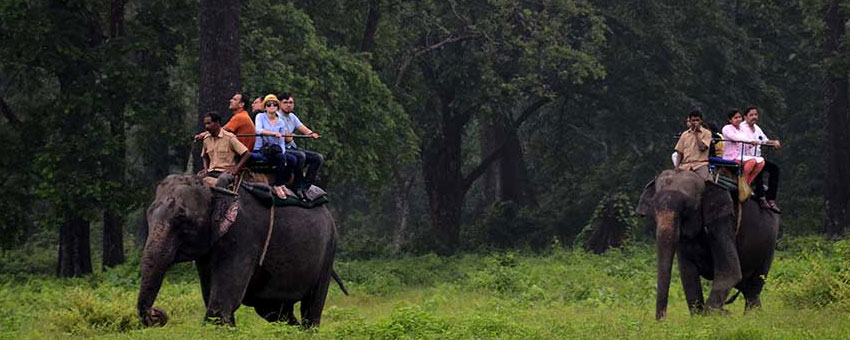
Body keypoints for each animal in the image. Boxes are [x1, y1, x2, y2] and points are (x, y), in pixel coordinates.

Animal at [136, 174, 342, 328]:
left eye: (182, 219)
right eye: (149, 214)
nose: (156, 313)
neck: (214, 186)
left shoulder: (243, 236)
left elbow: (220, 306)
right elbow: (212, 298)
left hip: (329, 248)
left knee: (311, 307)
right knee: (276, 311)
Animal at [632, 169, 780, 320]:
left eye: (686, 209)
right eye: (653, 211)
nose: (662, 321)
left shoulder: (723, 222)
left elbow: (730, 271)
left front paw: (716, 316)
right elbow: (688, 274)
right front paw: (700, 318)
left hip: (770, 243)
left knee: (754, 286)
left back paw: (752, 317)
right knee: (746, 288)